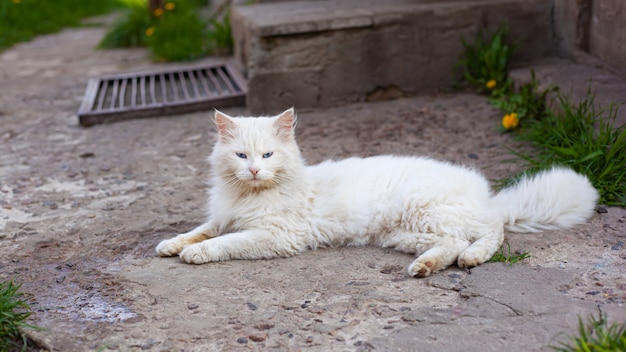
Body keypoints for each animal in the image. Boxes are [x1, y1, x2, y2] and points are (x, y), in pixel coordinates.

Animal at [154, 108, 596, 280]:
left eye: (268, 155)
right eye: (241, 156)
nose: (255, 170)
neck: (249, 194)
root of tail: (486, 192)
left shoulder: (274, 236)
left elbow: (225, 242)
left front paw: (196, 254)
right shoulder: (223, 216)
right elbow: (201, 229)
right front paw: (171, 245)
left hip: (429, 212)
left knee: (490, 232)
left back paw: (470, 257)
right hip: (406, 233)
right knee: (452, 243)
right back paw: (424, 267)